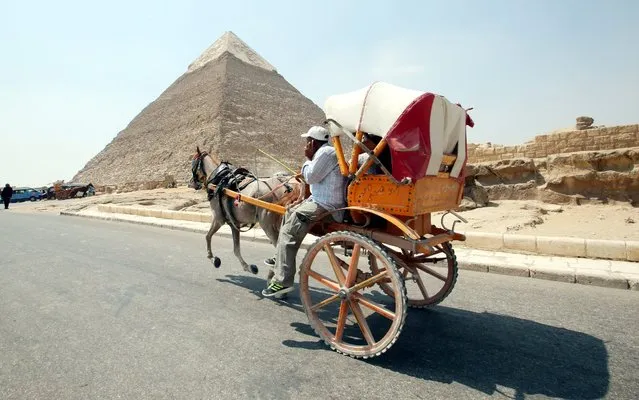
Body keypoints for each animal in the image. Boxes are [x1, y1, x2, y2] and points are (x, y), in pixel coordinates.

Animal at [190, 145, 304, 276]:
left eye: (193, 162)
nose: (191, 182)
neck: (220, 180)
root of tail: (286, 186)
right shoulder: (234, 224)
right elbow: (236, 249)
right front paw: (248, 267)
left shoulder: (218, 219)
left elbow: (208, 236)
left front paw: (213, 258)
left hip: (267, 224)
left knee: (279, 246)